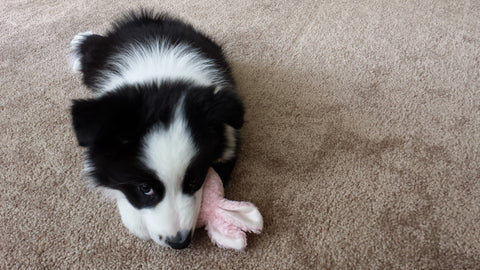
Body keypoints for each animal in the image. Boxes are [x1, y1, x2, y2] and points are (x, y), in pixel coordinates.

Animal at [67, 11, 244, 250]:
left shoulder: (230, 139)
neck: (162, 79)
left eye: (195, 180)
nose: (179, 243)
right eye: (145, 188)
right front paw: (135, 220)